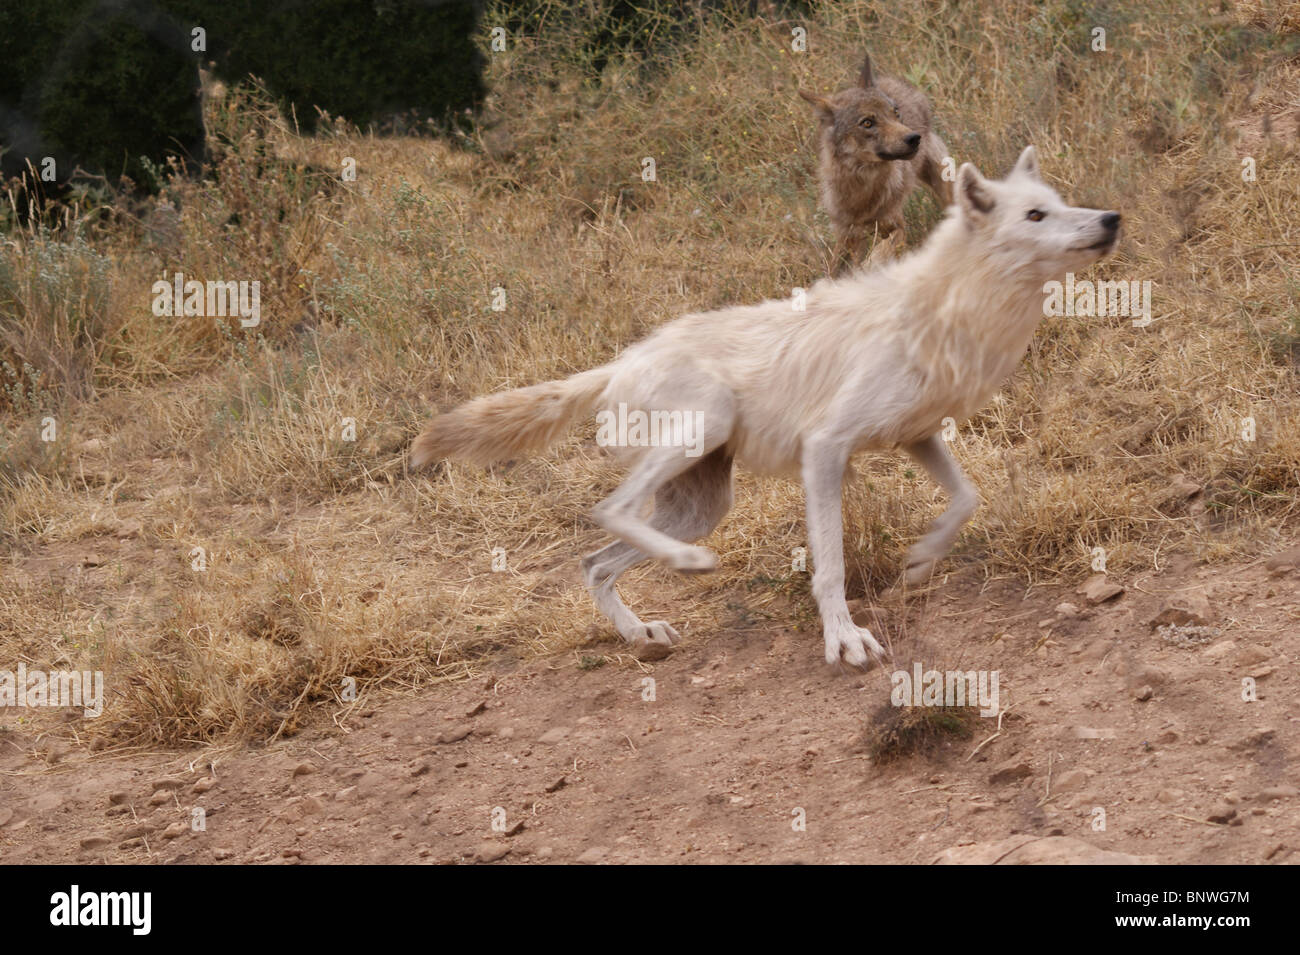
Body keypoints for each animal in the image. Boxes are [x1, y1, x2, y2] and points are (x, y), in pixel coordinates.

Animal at [411, 146, 1120, 667]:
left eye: (1064, 205)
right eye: (1035, 216)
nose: (1110, 219)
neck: (954, 313)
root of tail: (619, 363)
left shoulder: (918, 436)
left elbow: (968, 499)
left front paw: (920, 560)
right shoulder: (826, 450)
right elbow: (830, 566)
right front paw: (845, 640)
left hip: (703, 505)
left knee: (593, 562)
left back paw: (642, 635)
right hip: (706, 430)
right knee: (607, 510)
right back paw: (687, 569)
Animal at [800, 53, 954, 274]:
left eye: (895, 113)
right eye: (867, 123)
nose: (914, 138)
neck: (862, 190)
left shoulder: (898, 227)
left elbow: (877, 256)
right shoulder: (847, 236)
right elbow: (834, 267)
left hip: (941, 180)